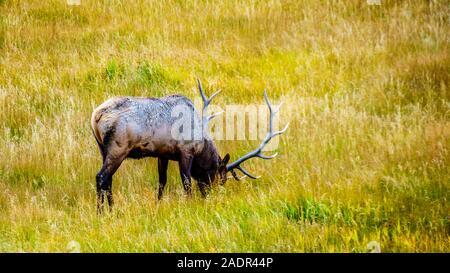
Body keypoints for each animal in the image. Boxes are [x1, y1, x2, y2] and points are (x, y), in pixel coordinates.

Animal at [91, 79, 288, 211]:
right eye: (221, 177)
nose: (210, 195)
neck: (201, 145)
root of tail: (96, 115)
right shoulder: (185, 152)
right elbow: (186, 182)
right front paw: (190, 204)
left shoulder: (163, 154)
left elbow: (162, 181)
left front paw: (159, 203)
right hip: (118, 148)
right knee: (101, 177)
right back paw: (102, 212)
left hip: (102, 148)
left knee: (108, 180)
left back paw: (111, 209)